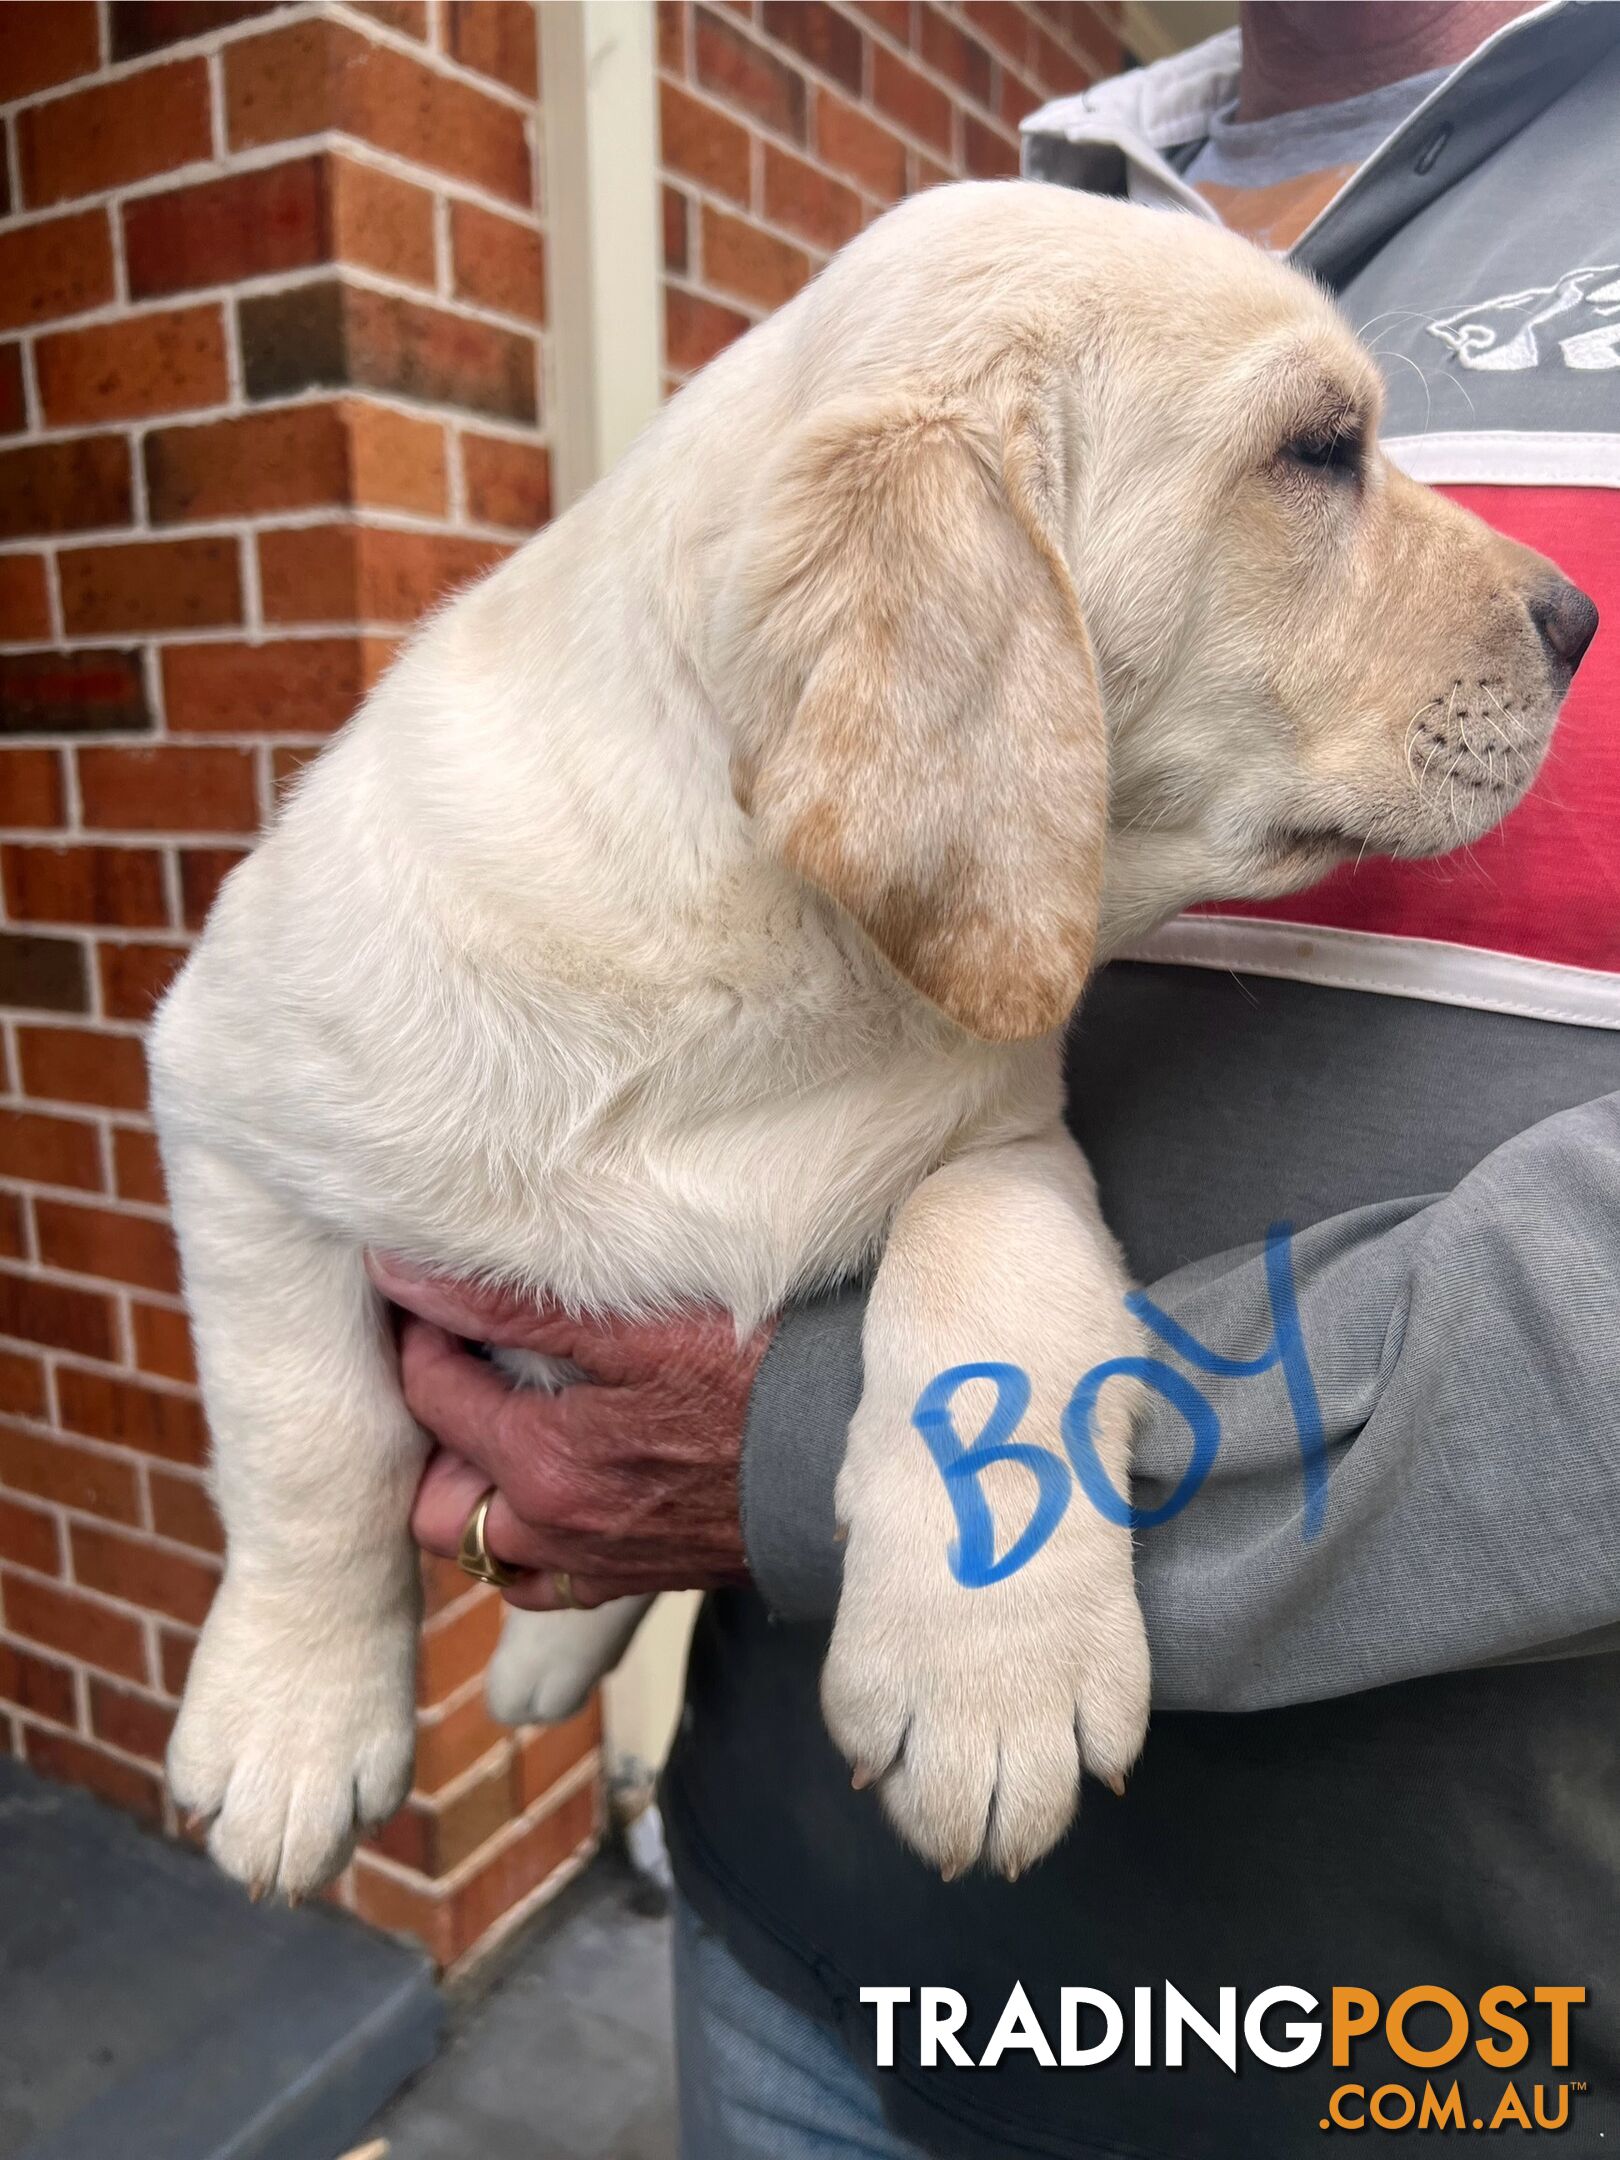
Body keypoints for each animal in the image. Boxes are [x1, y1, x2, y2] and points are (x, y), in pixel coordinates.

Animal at [155, 190, 1598, 1909]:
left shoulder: (1010, 1145)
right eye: (1319, 450)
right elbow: (313, 1443)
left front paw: (992, 1674)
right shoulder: (228, 1107)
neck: (761, 956)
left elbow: (983, 1280)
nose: (1583, 623)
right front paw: (292, 1724)